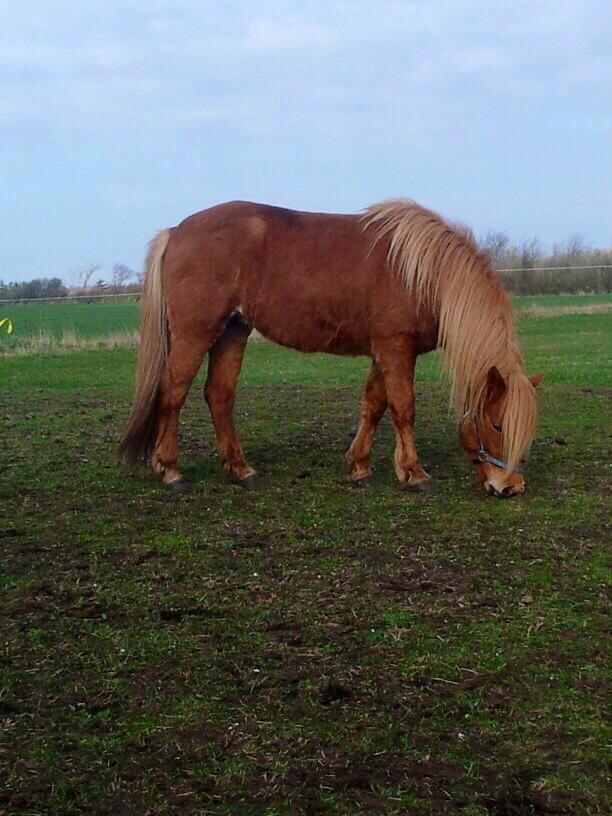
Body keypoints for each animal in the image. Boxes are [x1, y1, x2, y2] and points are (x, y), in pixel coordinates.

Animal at [117, 202, 544, 498]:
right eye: (497, 425)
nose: (510, 487)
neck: (423, 272)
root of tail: (176, 232)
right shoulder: (396, 348)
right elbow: (403, 408)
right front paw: (414, 474)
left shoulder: (383, 351)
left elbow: (374, 404)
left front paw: (360, 466)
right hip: (196, 333)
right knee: (172, 394)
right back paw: (170, 470)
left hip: (233, 331)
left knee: (219, 396)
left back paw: (240, 469)